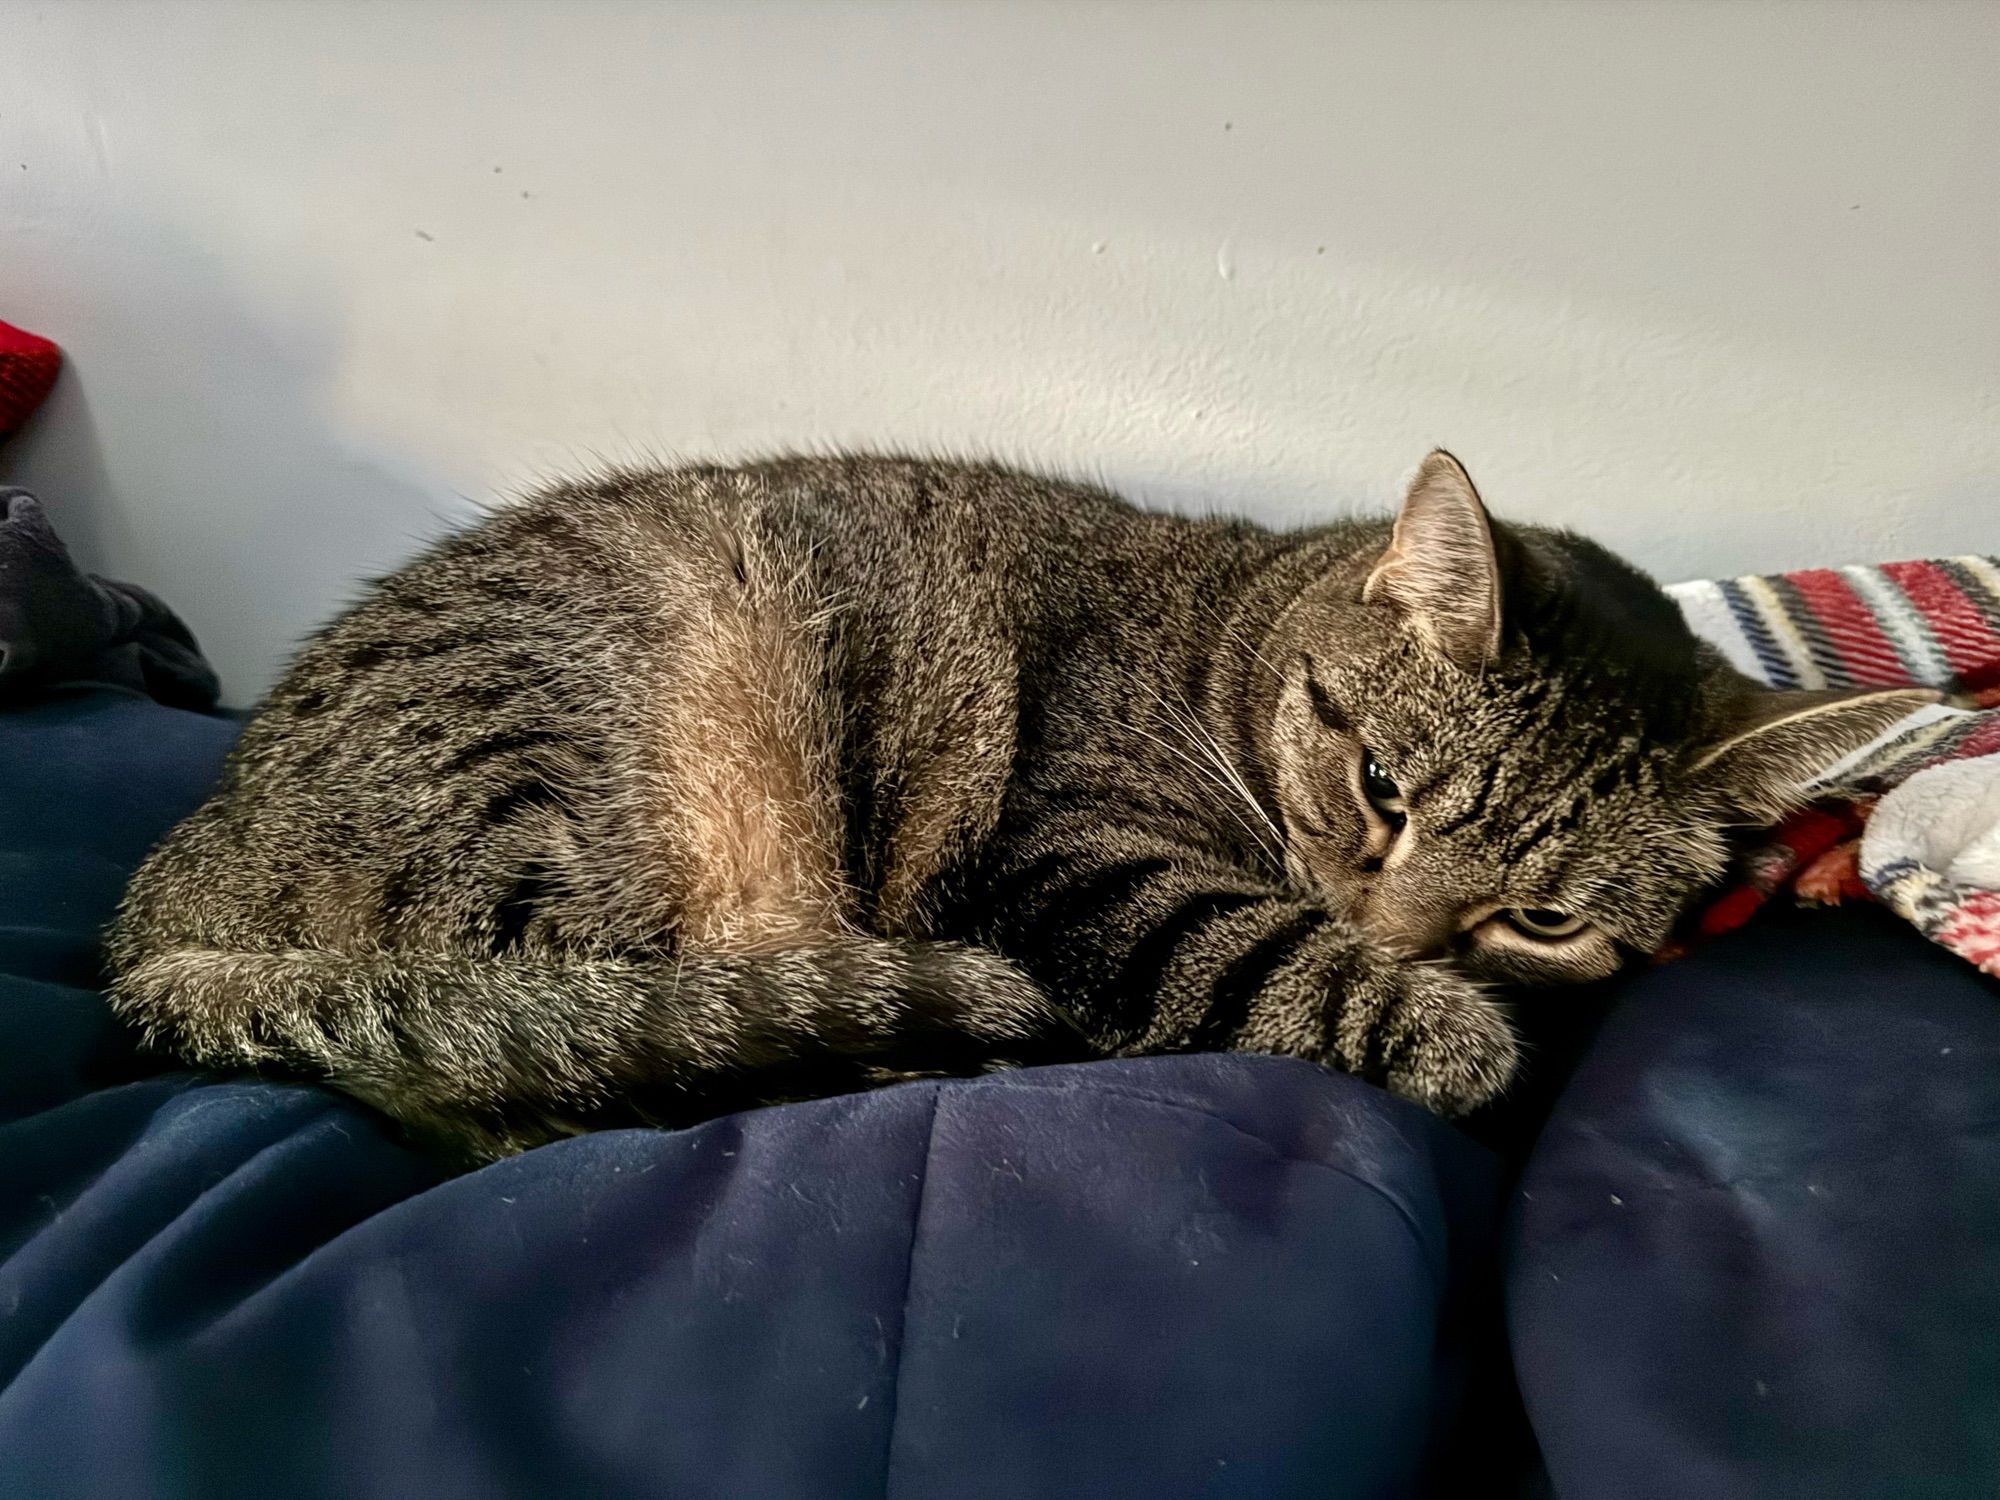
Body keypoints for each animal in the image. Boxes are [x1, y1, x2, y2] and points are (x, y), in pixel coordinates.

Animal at [101, 456, 1928, 1160]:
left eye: (1545, 915)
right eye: (1381, 791)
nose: (1396, 926)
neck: (1229, 640)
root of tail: (164, 902)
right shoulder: (1068, 854)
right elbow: (1267, 956)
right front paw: (1454, 1035)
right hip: (569, 831)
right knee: (556, 1058)